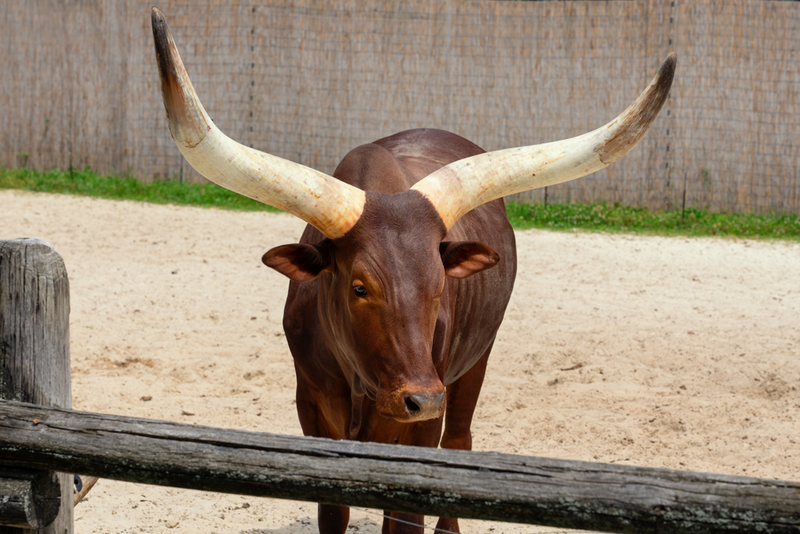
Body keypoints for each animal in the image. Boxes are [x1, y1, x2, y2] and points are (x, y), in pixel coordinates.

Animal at [150, 9, 676, 534]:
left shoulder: (421, 424)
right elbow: (332, 509)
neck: (364, 386)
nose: (421, 399)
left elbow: (407, 512)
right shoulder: (312, 409)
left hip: (474, 363)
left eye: (440, 286)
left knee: (460, 442)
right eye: (359, 287)